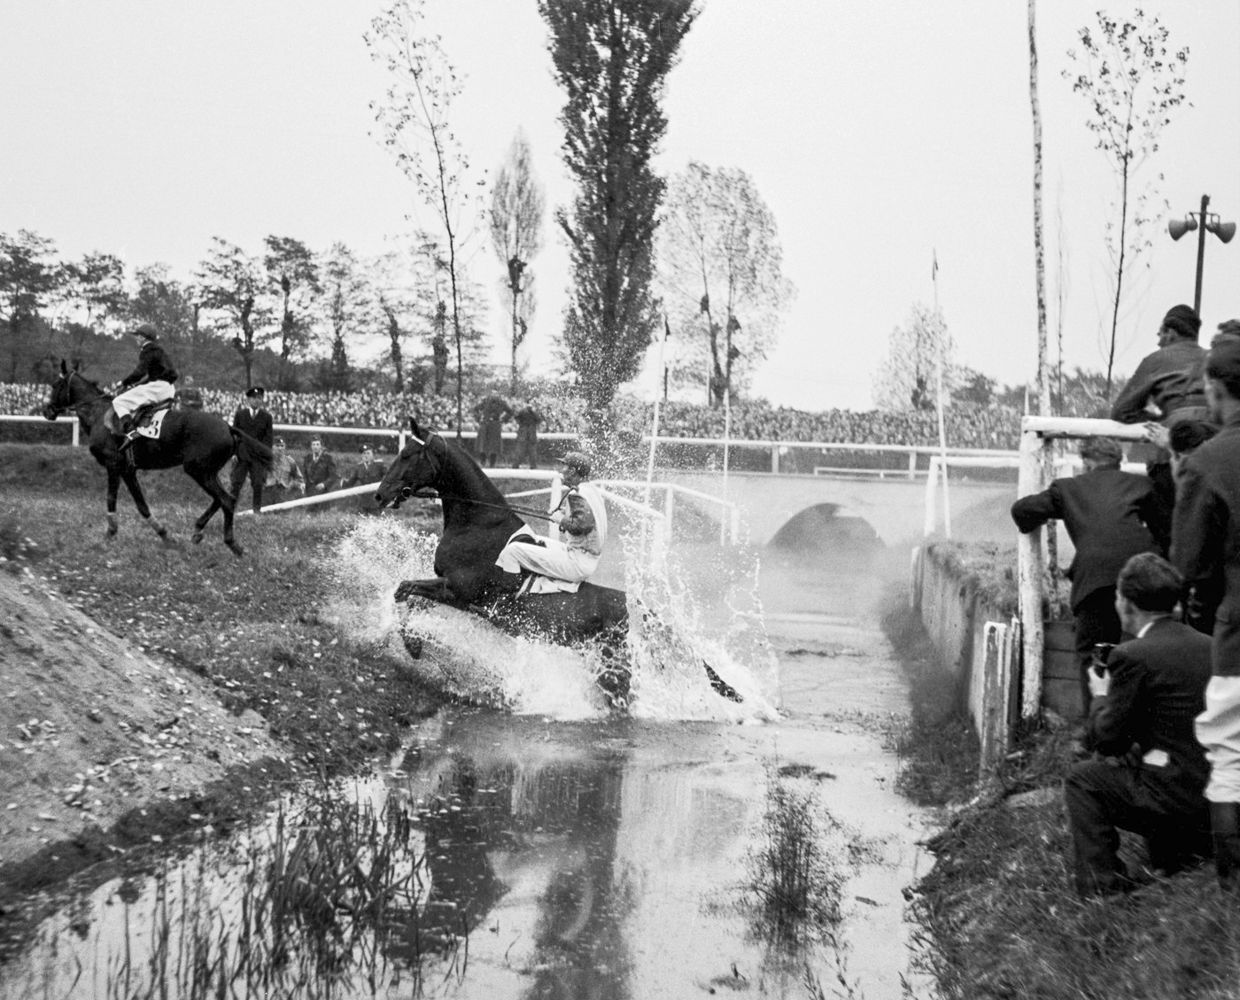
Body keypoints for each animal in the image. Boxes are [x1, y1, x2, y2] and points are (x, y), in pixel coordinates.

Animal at [45, 359, 266, 555]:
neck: (98, 414)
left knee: (226, 500)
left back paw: (232, 544)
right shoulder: (128, 470)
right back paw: (198, 530)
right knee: (224, 498)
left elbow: (111, 498)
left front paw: (110, 533)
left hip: (198, 470)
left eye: (55, 385)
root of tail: (228, 427)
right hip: (209, 472)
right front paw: (164, 535)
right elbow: (142, 505)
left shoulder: (113, 465)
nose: (47, 411)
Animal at [372, 414, 739, 704]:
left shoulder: (458, 591)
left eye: (407, 454)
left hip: (614, 665)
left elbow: (404, 590)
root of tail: (636, 607)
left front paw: (413, 645)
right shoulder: (451, 591)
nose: (380, 494)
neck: (478, 523)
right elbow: (407, 594)